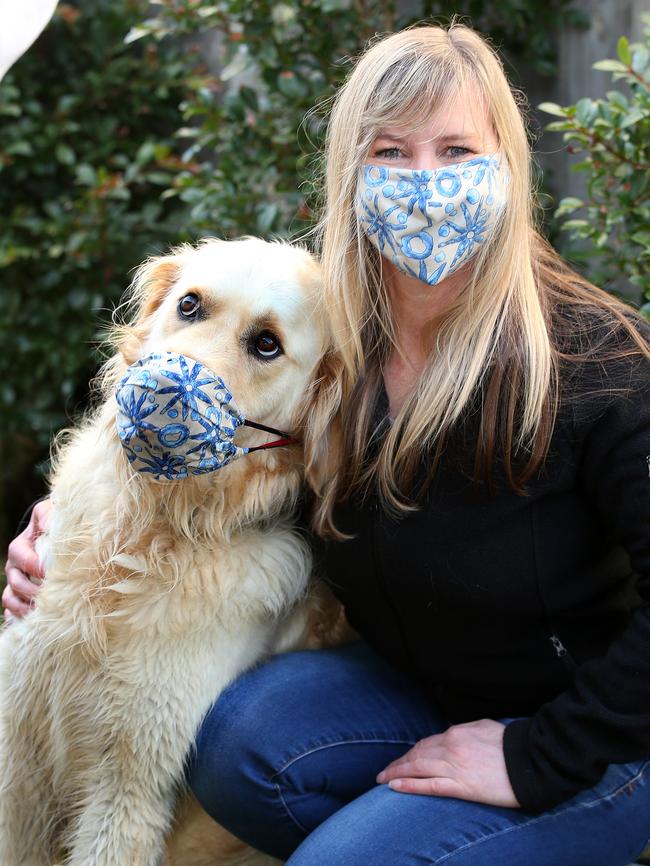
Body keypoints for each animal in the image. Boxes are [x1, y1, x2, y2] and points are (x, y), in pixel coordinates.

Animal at [0, 236, 344, 864]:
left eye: (266, 344)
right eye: (189, 305)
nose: (163, 392)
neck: (148, 529)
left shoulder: (128, 787)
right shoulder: (21, 761)